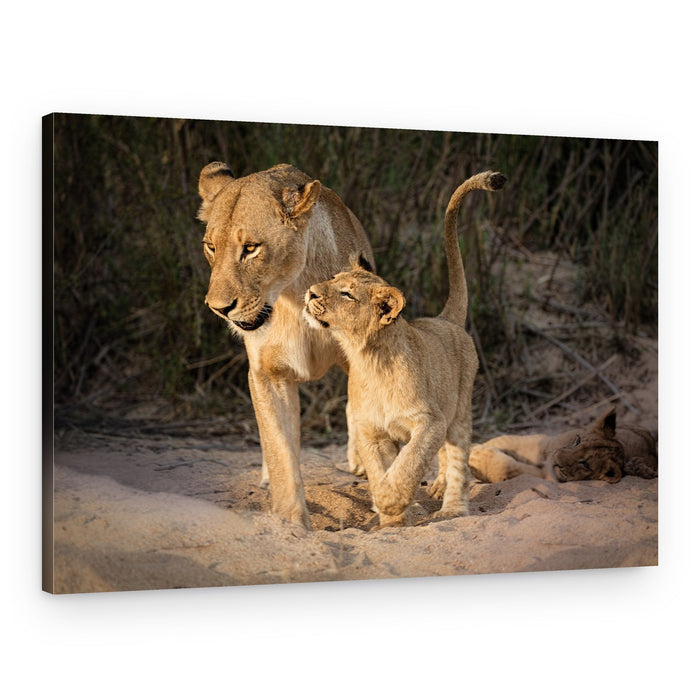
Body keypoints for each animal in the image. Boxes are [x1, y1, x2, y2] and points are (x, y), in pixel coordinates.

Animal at [198, 162, 374, 528]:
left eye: (251, 248)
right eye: (211, 246)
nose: (219, 308)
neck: (292, 295)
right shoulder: (267, 375)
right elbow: (280, 448)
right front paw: (291, 521)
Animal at [304, 171, 506, 527]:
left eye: (347, 293)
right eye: (333, 278)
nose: (311, 292)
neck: (368, 357)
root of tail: (444, 319)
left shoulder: (429, 421)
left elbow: (409, 462)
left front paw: (391, 501)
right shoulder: (371, 430)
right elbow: (379, 469)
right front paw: (393, 514)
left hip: (459, 409)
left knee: (456, 456)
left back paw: (451, 507)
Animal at [467, 407, 658, 483]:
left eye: (585, 464)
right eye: (577, 441)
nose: (557, 460)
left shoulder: (545, 475)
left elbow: (508, 468)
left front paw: (476, 456)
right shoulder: (544, 443)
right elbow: (506, 440)